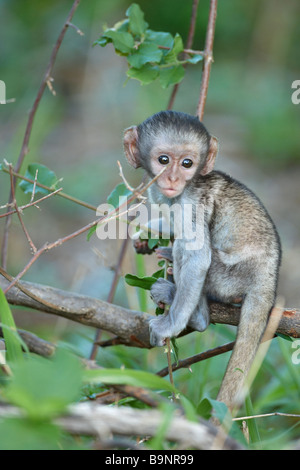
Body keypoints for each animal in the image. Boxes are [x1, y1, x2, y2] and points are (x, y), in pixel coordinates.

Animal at [123, 110, 282, 408]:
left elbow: (197, 258)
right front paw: (146, 234)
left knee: (188, 252)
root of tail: (268, 278)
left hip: (230, 277)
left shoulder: (191, 202)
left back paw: (194, 314)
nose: (173, 179)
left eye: (188, 163)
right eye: (164, 160)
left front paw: (170, 326)